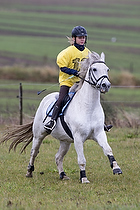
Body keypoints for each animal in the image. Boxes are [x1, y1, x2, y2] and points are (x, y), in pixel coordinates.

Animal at [0, 51, 121, 184]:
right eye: (94, 69)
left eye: (107, 69)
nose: (106, 85)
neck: (88, 106)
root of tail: (46, 98)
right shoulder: (78, 138)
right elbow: (81, 159)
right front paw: (84, 178)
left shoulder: (99, 133)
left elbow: (108, 150)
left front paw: (116, 168)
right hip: (39, 135)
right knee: (34, 152)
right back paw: (29, 171)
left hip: (65, 141)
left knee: (58, 157)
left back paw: (63, 175)